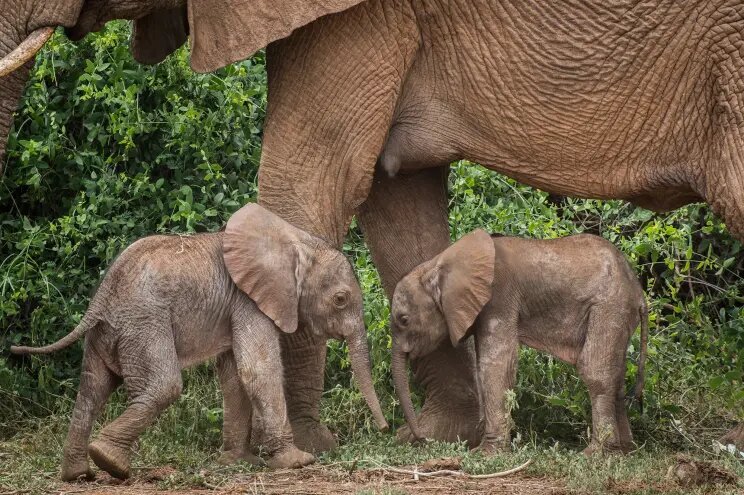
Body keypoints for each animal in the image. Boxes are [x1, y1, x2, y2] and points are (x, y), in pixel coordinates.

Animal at [10, 202, 390, 480]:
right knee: (163, 385)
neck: (294, 243)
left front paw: (239, 462)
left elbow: (235, 376)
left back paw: (79, 474)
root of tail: (101, 296)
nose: (385, 428)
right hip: (143, 324)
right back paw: (110, 463)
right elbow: (258, 370)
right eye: (340, 299)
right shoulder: (248, 301)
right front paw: (298, 461)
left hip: (109, 332)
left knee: (92, 388)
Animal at [392, 231, 648, 456]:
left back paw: (594, 454)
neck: (438, 263)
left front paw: (486, 453)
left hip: (610, 306)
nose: (421, 439)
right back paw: (623, 451)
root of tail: (639, 291)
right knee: (617, 376)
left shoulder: (499, 298)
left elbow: (495, 366)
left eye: (403, 320)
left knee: (595, 371)